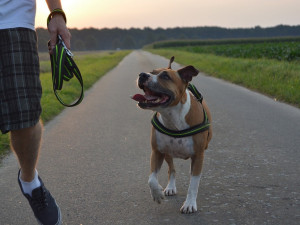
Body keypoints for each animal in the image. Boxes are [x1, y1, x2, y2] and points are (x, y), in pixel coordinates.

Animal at [130, 56, 212, 213]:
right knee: (172, 169)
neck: (172, 117)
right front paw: (157, 193)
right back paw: (170, 187)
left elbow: (193, 183)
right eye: (151, 72)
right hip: (168, 153)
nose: (142, 75)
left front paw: (189, 203)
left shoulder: (198, 156)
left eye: (165, 76)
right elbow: (151, 179)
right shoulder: (157, 151)